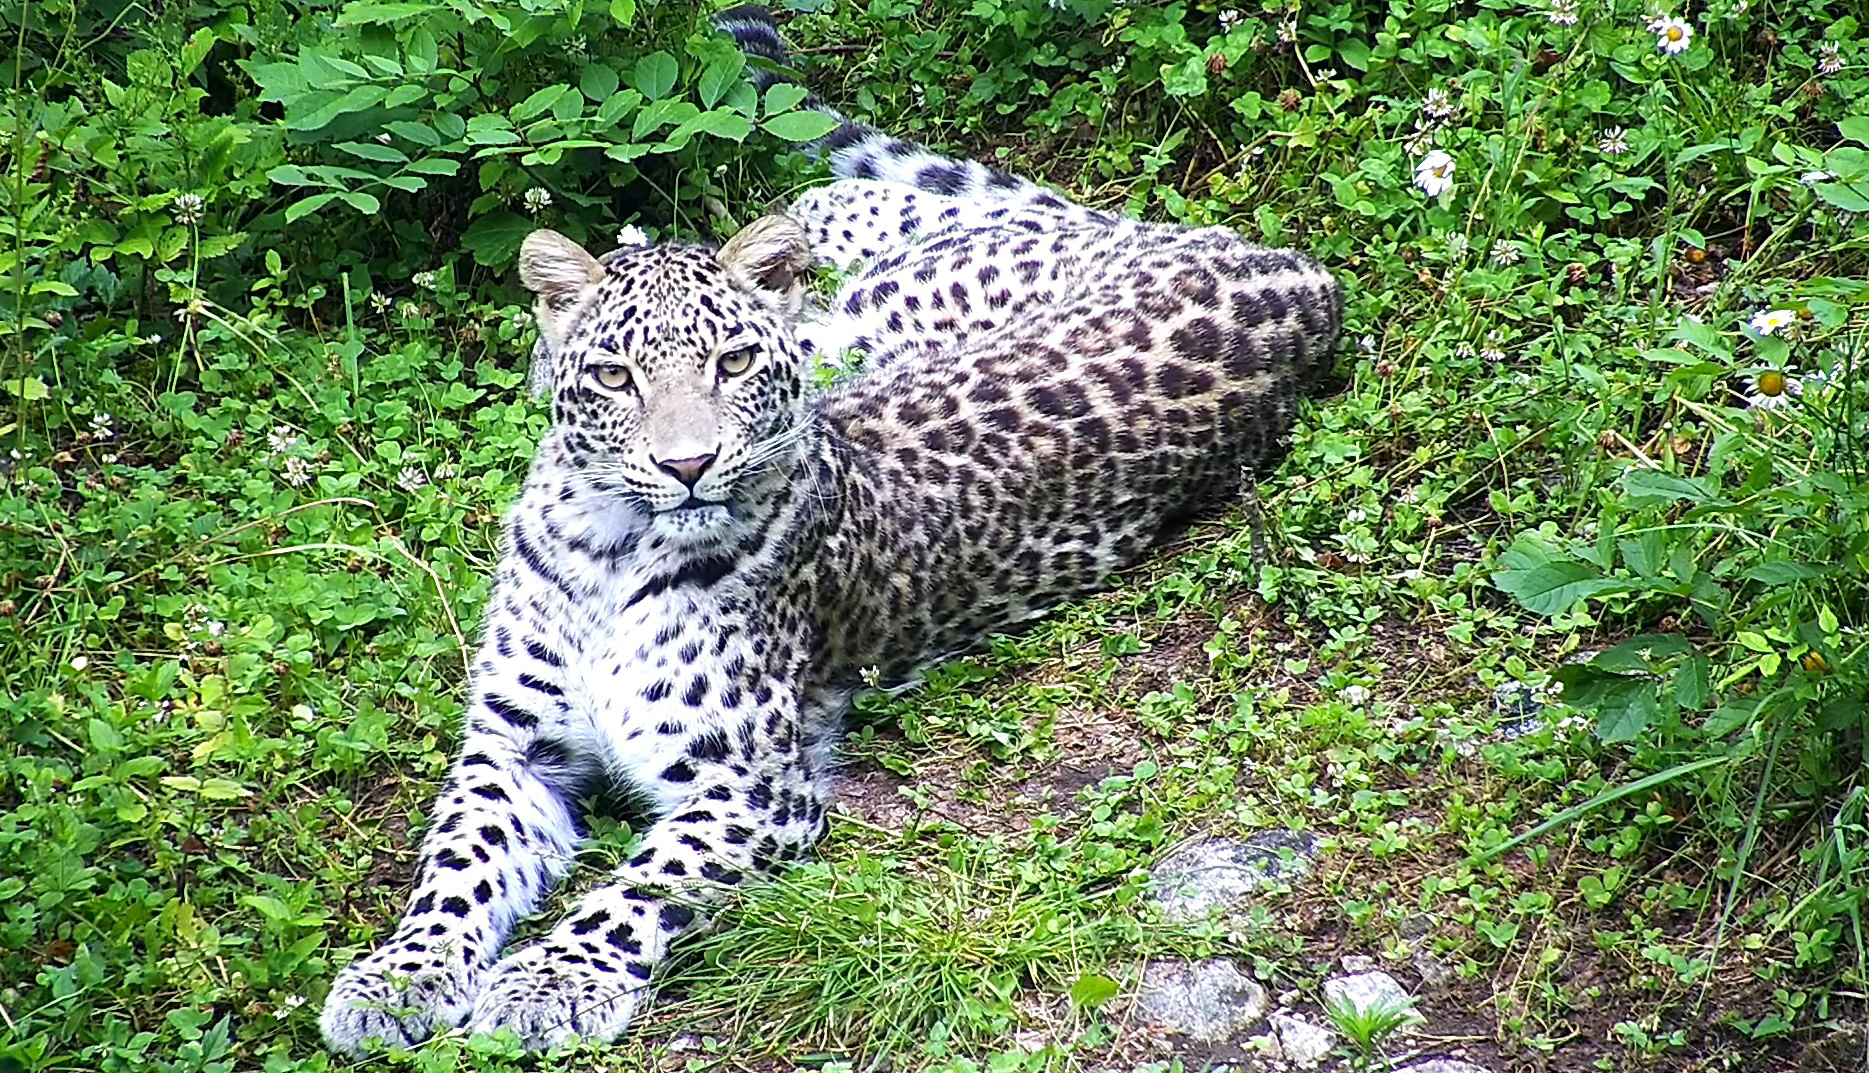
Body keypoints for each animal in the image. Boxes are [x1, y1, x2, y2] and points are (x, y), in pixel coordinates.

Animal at [325, 4, 1345, 1054]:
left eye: (733, 363)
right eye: (614, 376)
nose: (687, 464)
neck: (612, 543)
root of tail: (1291, 269)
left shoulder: (750, 782)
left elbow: (636, 890)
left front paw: (547, 980)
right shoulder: (511, 744)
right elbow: (457, 863)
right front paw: (397, 980)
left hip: (872, 312)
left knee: (853, 202)